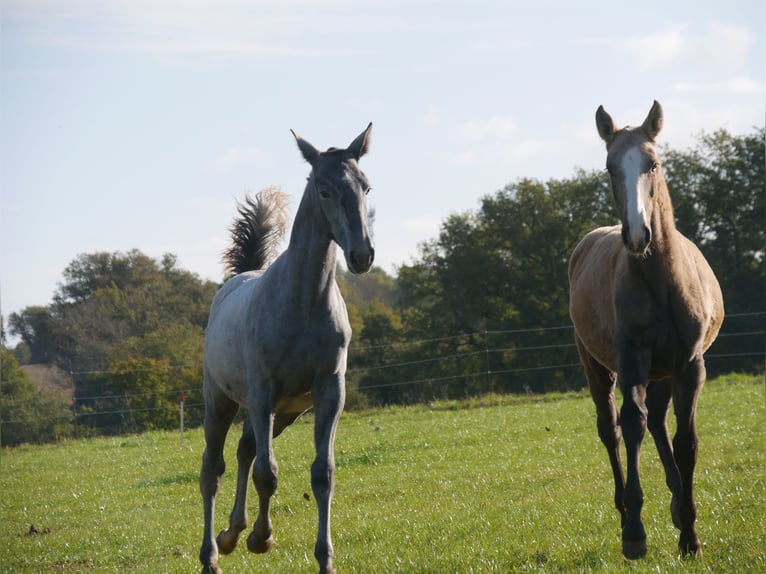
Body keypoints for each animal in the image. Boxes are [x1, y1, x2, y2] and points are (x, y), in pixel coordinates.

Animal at [200, 125, 376, 574]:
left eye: (366, 186)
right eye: (324, 189)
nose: (362, 255)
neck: (302, 303)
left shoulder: (329, 392)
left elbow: (322, 473)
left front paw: (324, 559)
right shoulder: (263, 392)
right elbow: (268, 473)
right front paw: (262, 539)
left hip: (284, 413)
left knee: (245, 451)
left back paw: (232, 533)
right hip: (223, 403)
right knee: (214, 469)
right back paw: (212, 554)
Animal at [568, 101, 728, 560]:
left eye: (653, 163)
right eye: (609, 167)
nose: (638, 235)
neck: (662, 282)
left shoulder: (690, 365)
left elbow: (686, 441)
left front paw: (689, 534)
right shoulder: (632, 359)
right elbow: (632, 424)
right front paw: (636, 533)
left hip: (664, 370)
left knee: (658, 420)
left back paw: (676, 502)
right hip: (597, 367)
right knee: (613, 430)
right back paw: (625, 513)